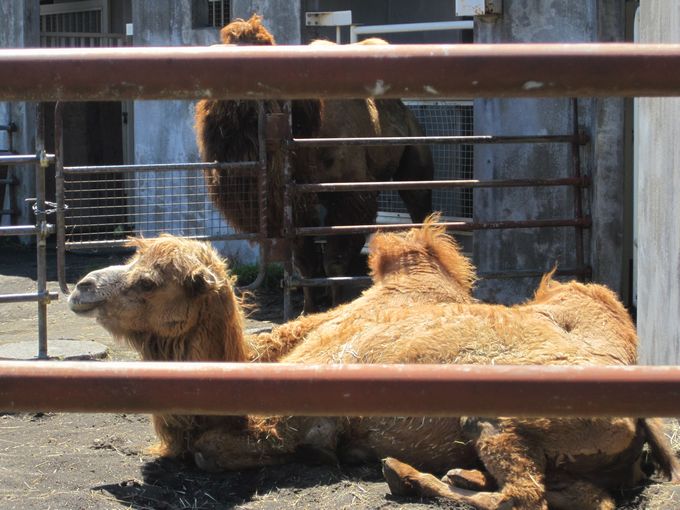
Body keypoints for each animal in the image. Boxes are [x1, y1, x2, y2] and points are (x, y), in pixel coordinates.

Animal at [67, 224, 676, 510]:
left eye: (149, 281)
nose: (81, 286)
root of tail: (641, 415)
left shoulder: (291, 424)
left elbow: (207, 452)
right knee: (582, 495)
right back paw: (442, 473)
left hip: (500, 417)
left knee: (524, 494)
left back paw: (407, 474)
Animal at [194, 14, 432, 310]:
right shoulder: (294, 204)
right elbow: (306, 262)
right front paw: (308, 309)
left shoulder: (348, 195)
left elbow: (334, 262)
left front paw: (336, 304)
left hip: (414, 156)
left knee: (418, 201)